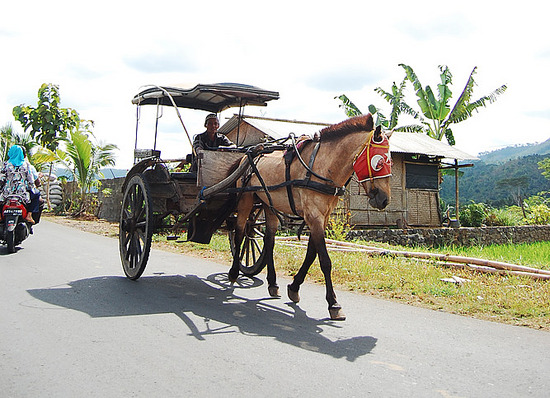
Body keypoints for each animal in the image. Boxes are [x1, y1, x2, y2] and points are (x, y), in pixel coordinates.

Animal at [231, 112, 394, 320]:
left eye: (389, 162)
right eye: (380, 162)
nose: (384, 200)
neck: (323, 166)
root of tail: (248, 153)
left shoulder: (322, 217)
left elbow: (311, 254)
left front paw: (294, 287)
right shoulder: (313, 216)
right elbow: (324, 260)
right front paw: (333, 303)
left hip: (268, 203)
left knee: (268, 240)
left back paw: (273, 283)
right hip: (246, 199)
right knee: (239, 233)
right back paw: (234, 272)